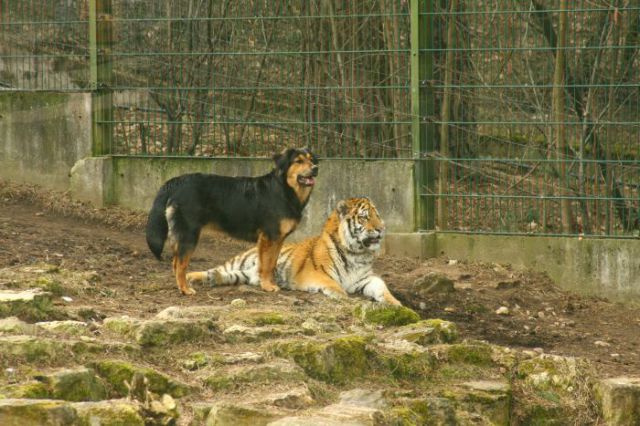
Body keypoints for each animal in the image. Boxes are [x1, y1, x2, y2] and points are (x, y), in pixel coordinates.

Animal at [148, 148, 322, 294]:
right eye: (298, 161)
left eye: (311, 159)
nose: (315, 168)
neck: (285, 189)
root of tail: (175, 182)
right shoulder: (268, 237)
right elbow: (266, 265)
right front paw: (267, 286)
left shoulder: (278, 239)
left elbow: (272, 263)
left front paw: (269, 283)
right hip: (188, 235)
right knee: (180, 264)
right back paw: (185, 289)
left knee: (175, 262)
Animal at [185, 198, 402, 304]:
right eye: (365, 217)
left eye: (377, 215)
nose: (381, 229)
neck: (357, 252)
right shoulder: (314, 273)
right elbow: (333, 284)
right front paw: (342, 296)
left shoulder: (365, 278)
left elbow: (382, 287)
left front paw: (395, 303)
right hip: (241, 259)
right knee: (217, 267)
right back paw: (192, 277)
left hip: (246, 274)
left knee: (232, 275)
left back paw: (214, 278)